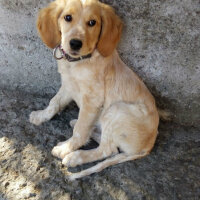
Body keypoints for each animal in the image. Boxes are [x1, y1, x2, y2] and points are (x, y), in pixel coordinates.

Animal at [29, 0, 159, 180]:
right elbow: (54, 102)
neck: (78, 63)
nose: (75, 43)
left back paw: (75, 156)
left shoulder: (92, 101)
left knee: (108, 149)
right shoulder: (68, 85)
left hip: (116, 110)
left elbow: (80, 129)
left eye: (92, 22)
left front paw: (66, 148)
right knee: (110, 145)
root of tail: (149, 145)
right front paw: (41, 116)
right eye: (67, 17)